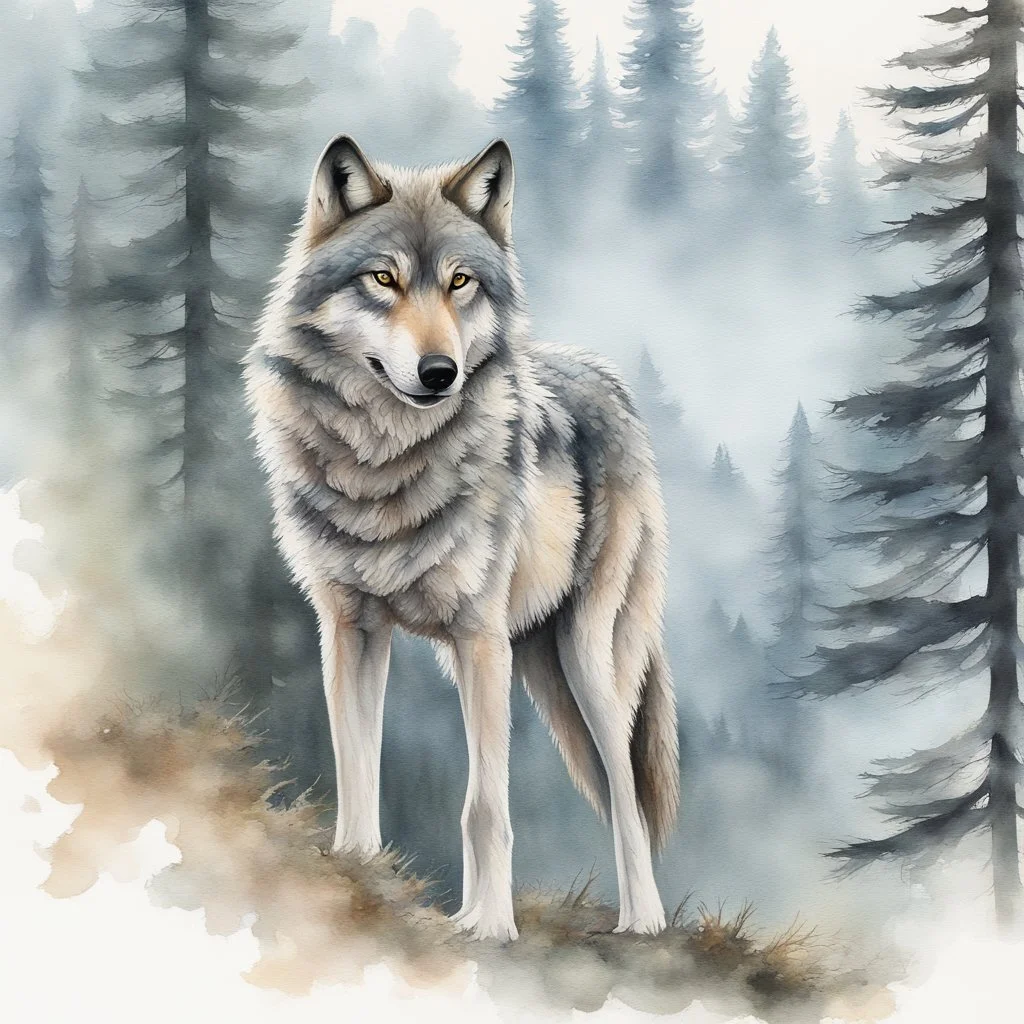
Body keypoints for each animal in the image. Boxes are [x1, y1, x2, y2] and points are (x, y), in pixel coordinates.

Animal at [244, 135, 680, 941]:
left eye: (460, 282)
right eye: (384, 278)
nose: (440, 371)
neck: (383, 468)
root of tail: (607, 380)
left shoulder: (478, 639)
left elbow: (484, 807)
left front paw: (492, 927)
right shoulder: (351, 629)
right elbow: (358, 767)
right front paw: (357, 869)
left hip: (583, 658)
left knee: (627, 791)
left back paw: (642, 921)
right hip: (532, 663)